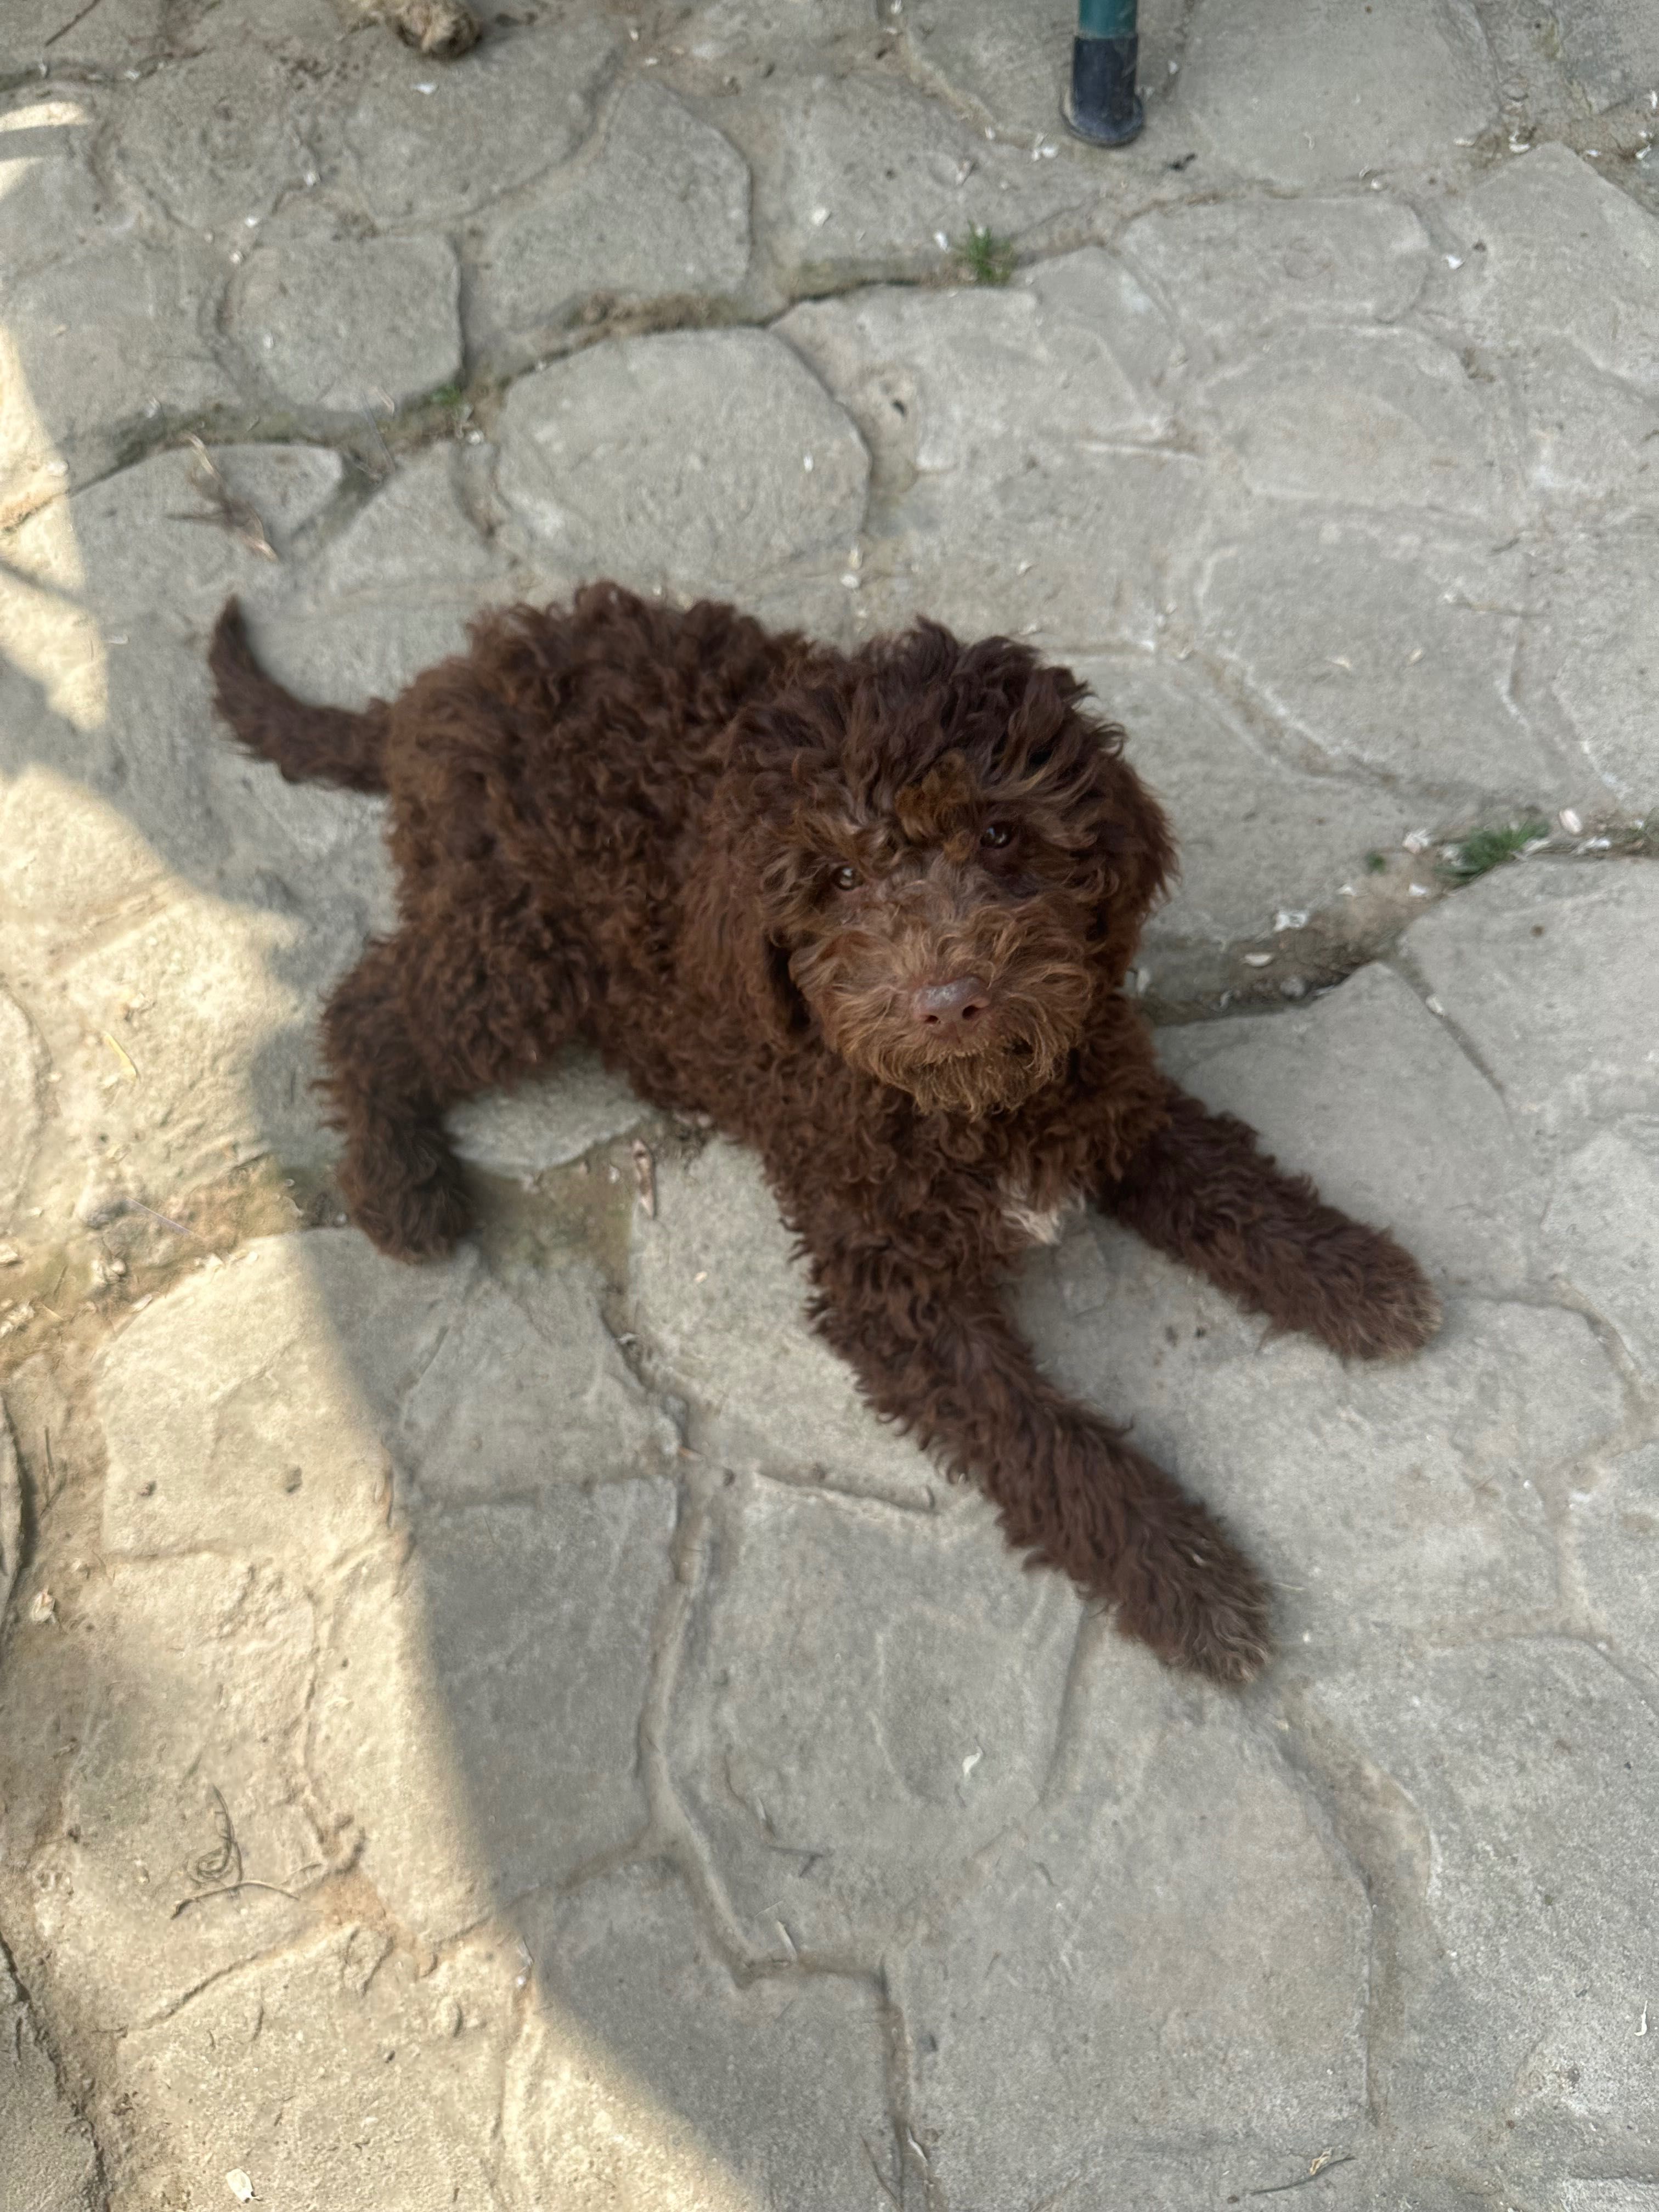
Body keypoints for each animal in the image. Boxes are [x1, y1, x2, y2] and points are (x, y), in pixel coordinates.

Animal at [215, 588, 1451, 1672]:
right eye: (841, 877)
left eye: (1001, 835)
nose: (949, 999)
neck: (966, 1104)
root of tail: (442, 689)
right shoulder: (892, 1290)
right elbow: (1043, 1438)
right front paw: (1180, 1574)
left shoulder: (1105, 1089)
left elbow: (1226, 1180)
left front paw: (1350, 1274)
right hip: (516, 955)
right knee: (367, 1006)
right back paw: (398, 1187)